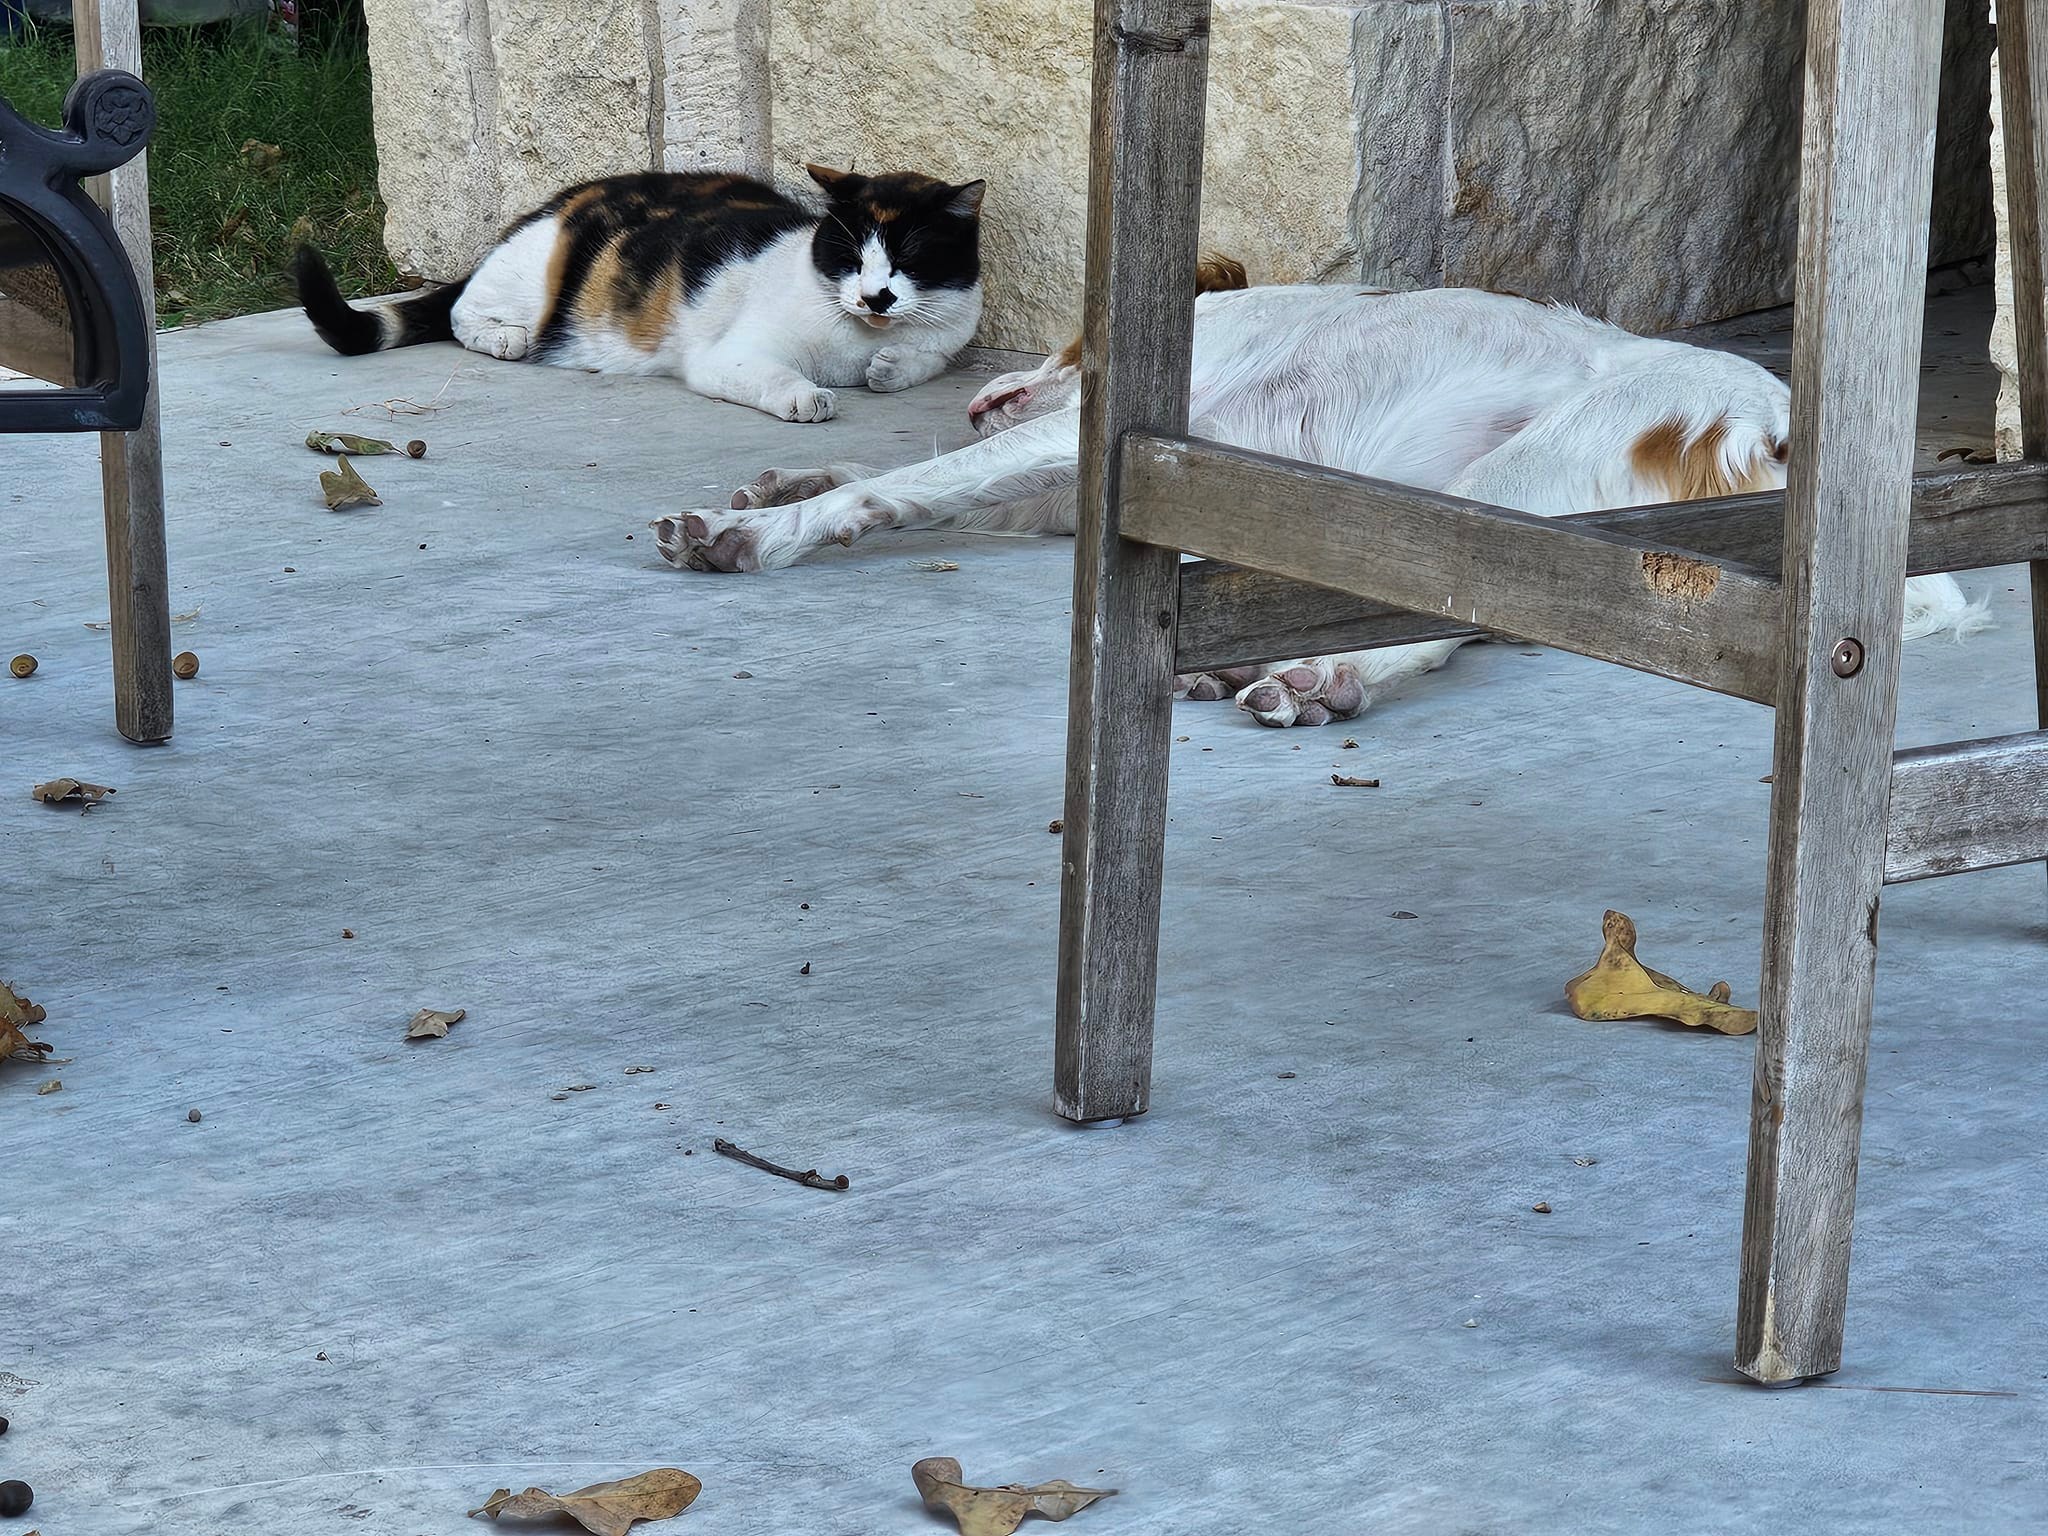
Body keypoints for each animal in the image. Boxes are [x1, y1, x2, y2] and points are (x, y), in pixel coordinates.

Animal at [292, 163, 987, 421]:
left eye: (907, 258)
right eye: (850, 257)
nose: (874, 297)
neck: (856, 341)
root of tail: (558, 201)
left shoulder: (952, 333)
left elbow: (927, 358)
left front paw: (892, 367)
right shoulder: (730, 356)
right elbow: (776, 376)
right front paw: (808, 396)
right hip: (532, 273)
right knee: (464, 310)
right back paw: (506, 337)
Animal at [647, 259, 1974, 729]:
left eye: (1069, 337)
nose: (987, 390)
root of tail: (1782, 430)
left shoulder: (1094, 443)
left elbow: (906, 489)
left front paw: (752, 527)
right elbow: (900, 481)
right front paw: (790, 474)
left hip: (1512, 480)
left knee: (1441, 619)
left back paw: (1312, 678)